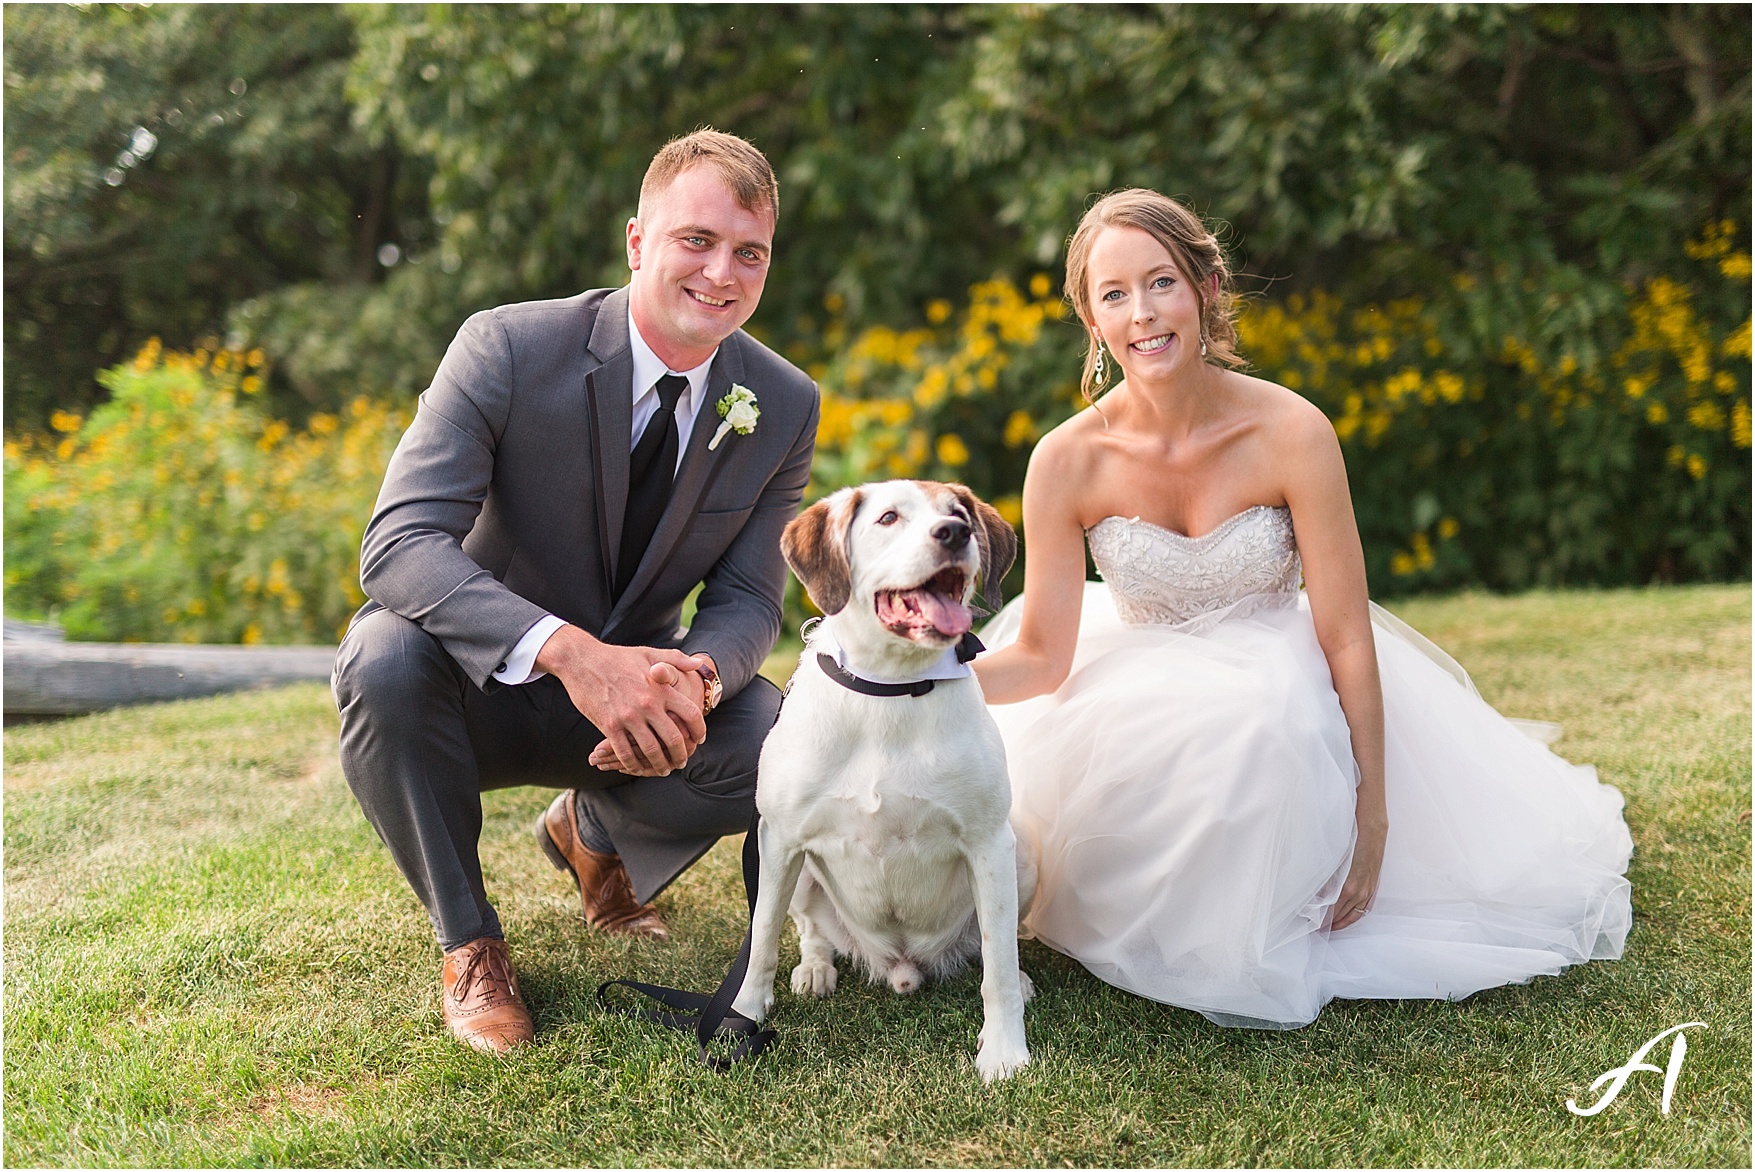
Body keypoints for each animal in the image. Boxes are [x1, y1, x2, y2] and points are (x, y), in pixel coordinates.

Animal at [730, 480, 1031, 1087]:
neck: (890, 686)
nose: (955, 533)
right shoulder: (779, 838)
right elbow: (762, 938)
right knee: (810, 930)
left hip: (1021, 859)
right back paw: (816, 968)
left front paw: (1004, 1049)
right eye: (889, 518)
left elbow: (998, 963)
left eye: (959, 513)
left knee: (994, 947)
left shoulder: (990, 843)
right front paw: (742, 1018)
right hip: (796, 870)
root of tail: (901, 966)